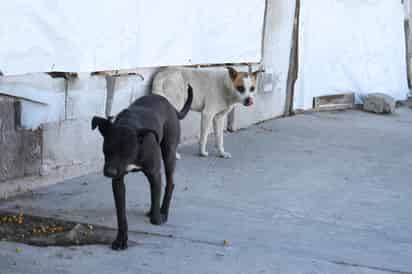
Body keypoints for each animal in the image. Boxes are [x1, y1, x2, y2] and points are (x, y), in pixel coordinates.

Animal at [91, 85, 193, 250]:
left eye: (127, 151)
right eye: (107, 149)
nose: (109, 172)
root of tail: (171, 106)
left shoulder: (154, 173)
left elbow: (156, 195)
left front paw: (157, 219)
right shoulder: (118, 181)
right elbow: (121, 214)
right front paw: (121, 240)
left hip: (169, 152)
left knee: (169, 184)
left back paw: (163, 212)